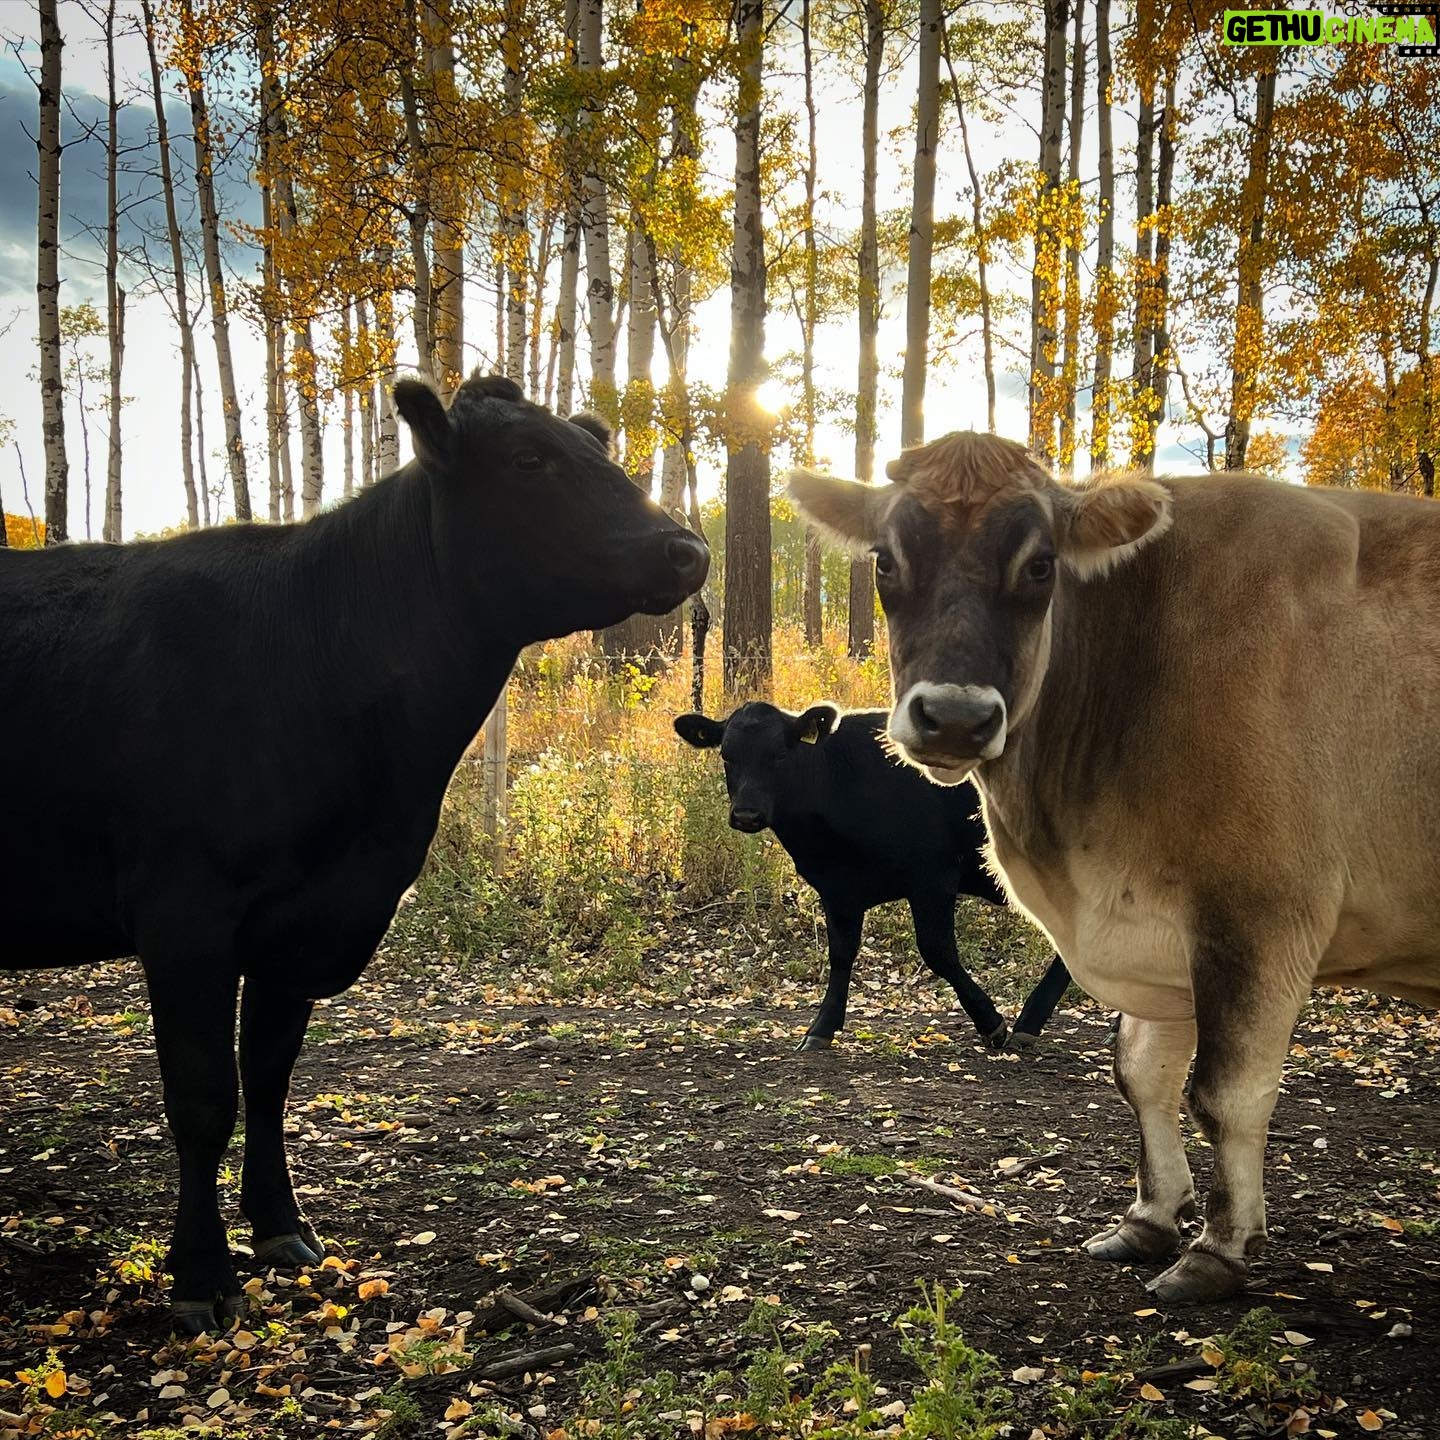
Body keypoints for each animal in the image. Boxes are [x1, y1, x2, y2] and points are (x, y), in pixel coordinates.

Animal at [0, 373, 708, 1333]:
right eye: (530, 459)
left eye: (599, 451)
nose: (688, 550)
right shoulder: (184, 911)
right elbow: (202, 1095)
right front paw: (201, 1276)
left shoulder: (305, 918)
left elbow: (266, 1073)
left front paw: (281, 1227)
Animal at [673, 701, 1072, 1052]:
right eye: (727, 756)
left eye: (781, 755)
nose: (746, 814)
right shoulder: (837, 889)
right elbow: (841, 954)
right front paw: (821, 1028)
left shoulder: (932, 876)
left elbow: (938, 951)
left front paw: (990, 1022)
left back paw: (1028, 1022)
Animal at [791, 431, 1440, 1303]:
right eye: (885, 561)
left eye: (1041, 566)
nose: (955, 718)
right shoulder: (1157, 927)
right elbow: (1141, 1074)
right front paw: (1149, 1219)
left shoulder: (1262, 914)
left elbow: (1225, 1095)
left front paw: (1218, 1249)